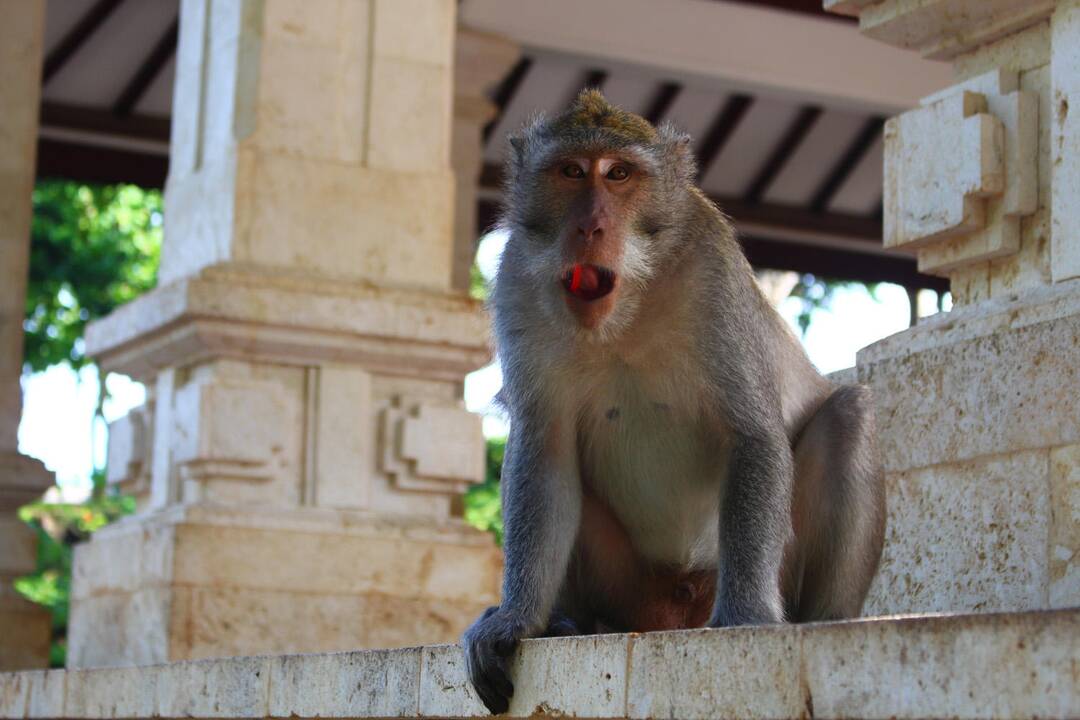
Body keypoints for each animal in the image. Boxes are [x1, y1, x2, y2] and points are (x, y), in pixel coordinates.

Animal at [460, 91, 881, 716]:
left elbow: (754, 433)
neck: (624, 313)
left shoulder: (713, 271)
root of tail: (672, 612)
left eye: (619, 174)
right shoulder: (516, 282)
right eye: (571, 172)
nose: (589, 226)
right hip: (631, 588)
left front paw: (747, 619)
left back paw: (825, 624)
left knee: (849, 414)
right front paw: (516, 619)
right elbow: (543, 451)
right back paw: (566, 623)